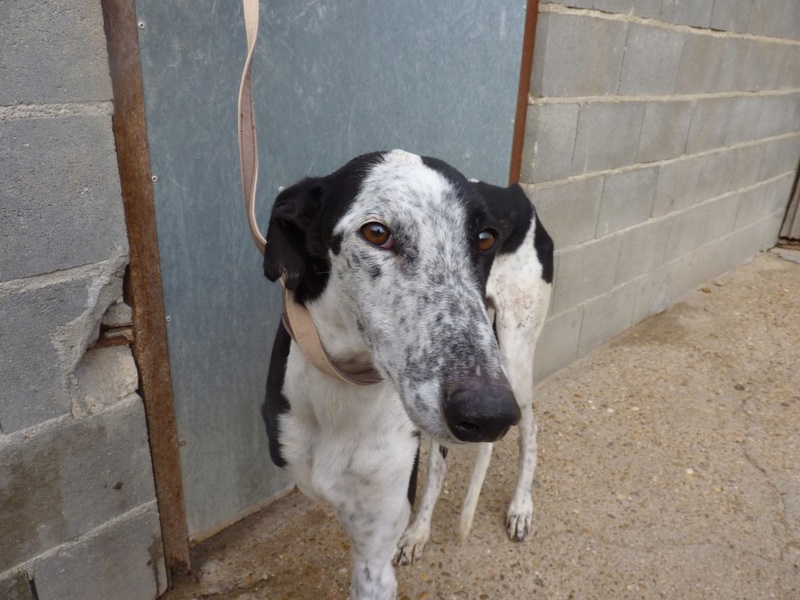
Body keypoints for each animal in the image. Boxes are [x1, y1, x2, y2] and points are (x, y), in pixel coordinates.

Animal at [262, 150, 552, 600]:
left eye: (486, 238)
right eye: (376, 232)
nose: (488, 415)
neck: (343, 391)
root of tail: (513, 192)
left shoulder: (374, 555)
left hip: (514, 358)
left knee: (531, 427)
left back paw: (520, 507)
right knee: (439, 461)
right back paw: (418, 532)